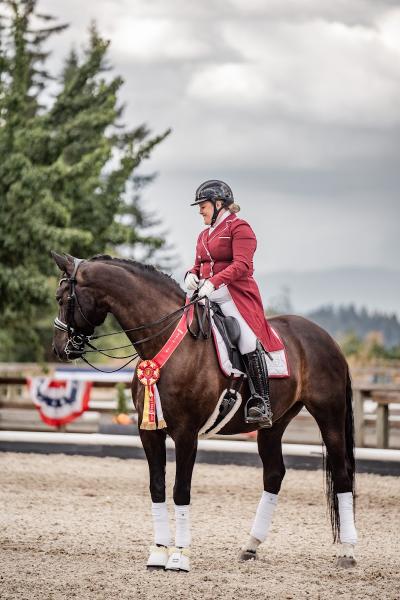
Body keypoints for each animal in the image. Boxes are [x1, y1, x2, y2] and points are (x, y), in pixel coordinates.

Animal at [51, 253, 358, 572]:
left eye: (62, 298)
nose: (59, 349)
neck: (167, 343)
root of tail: (326, 338)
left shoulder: (186, 434)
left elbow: (180, 490)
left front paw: (179, 556)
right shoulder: (149, 432)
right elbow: (157, 487)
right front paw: (158, 552)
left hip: (329, 416)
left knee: (342, 474)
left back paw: (347, 551)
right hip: (273, 424)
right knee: (274, 475)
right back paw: (250, 546)